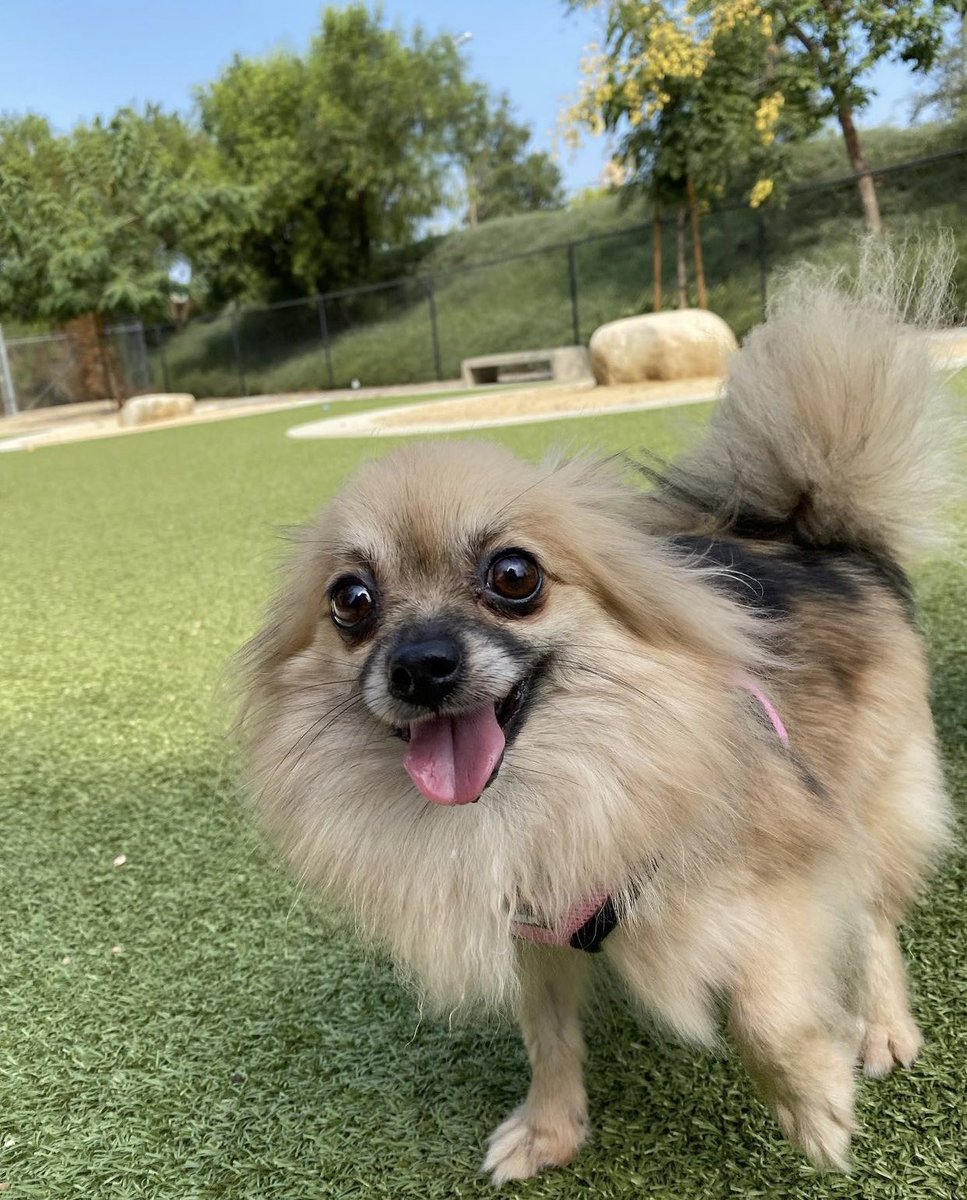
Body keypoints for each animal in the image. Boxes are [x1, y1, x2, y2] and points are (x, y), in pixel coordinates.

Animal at [239, 243, 955, 1180]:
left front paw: (813, 1101)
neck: (542, 794)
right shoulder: (534, 932)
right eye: (350, 601)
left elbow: (762, 1011)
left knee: (873, 916)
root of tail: (816, 534)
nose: (421, 665)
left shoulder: (782, 868)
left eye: (514, 576)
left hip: (867, 789)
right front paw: (550, 1130)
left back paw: (882, 1027)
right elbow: (547, 1038)